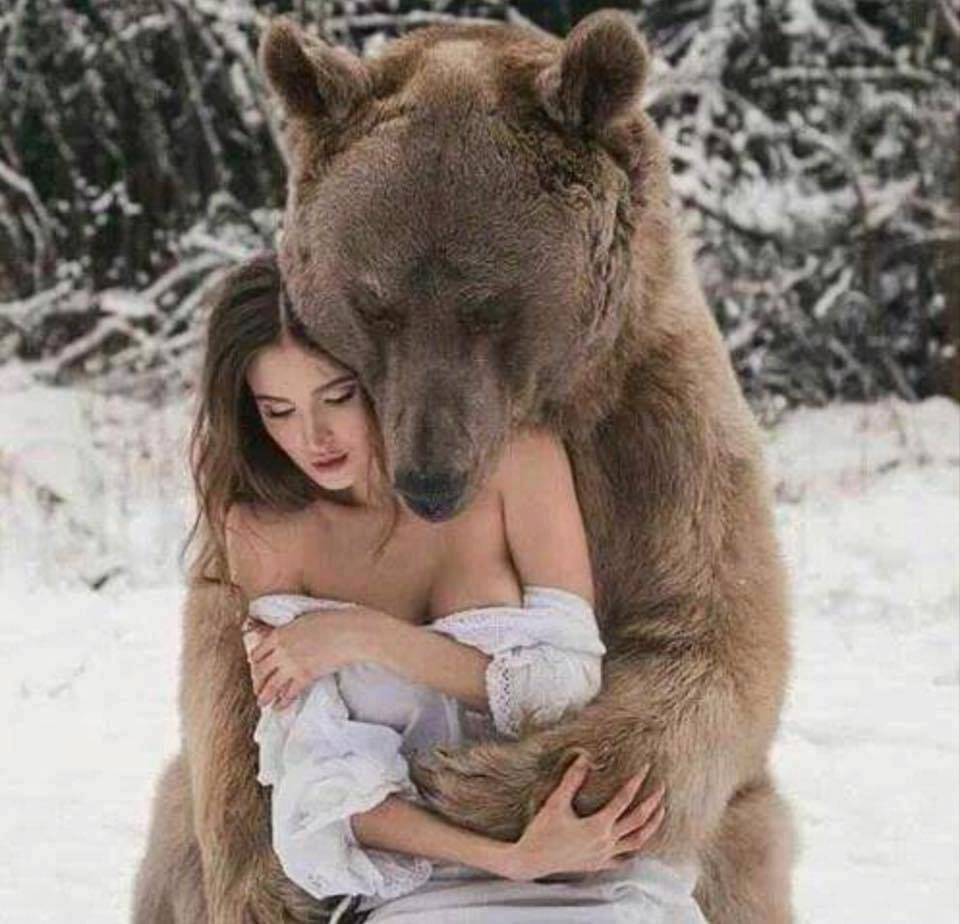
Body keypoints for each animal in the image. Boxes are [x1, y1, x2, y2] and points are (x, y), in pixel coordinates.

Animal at [133, 10, 794, 924]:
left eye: (490, 305)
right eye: (373, 303)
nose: (431, 479)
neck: (549, 407)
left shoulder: (652, 430)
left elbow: (710, 638)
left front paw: (474, 784)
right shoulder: (247, 536)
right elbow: (230, 669)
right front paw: (276, 877)